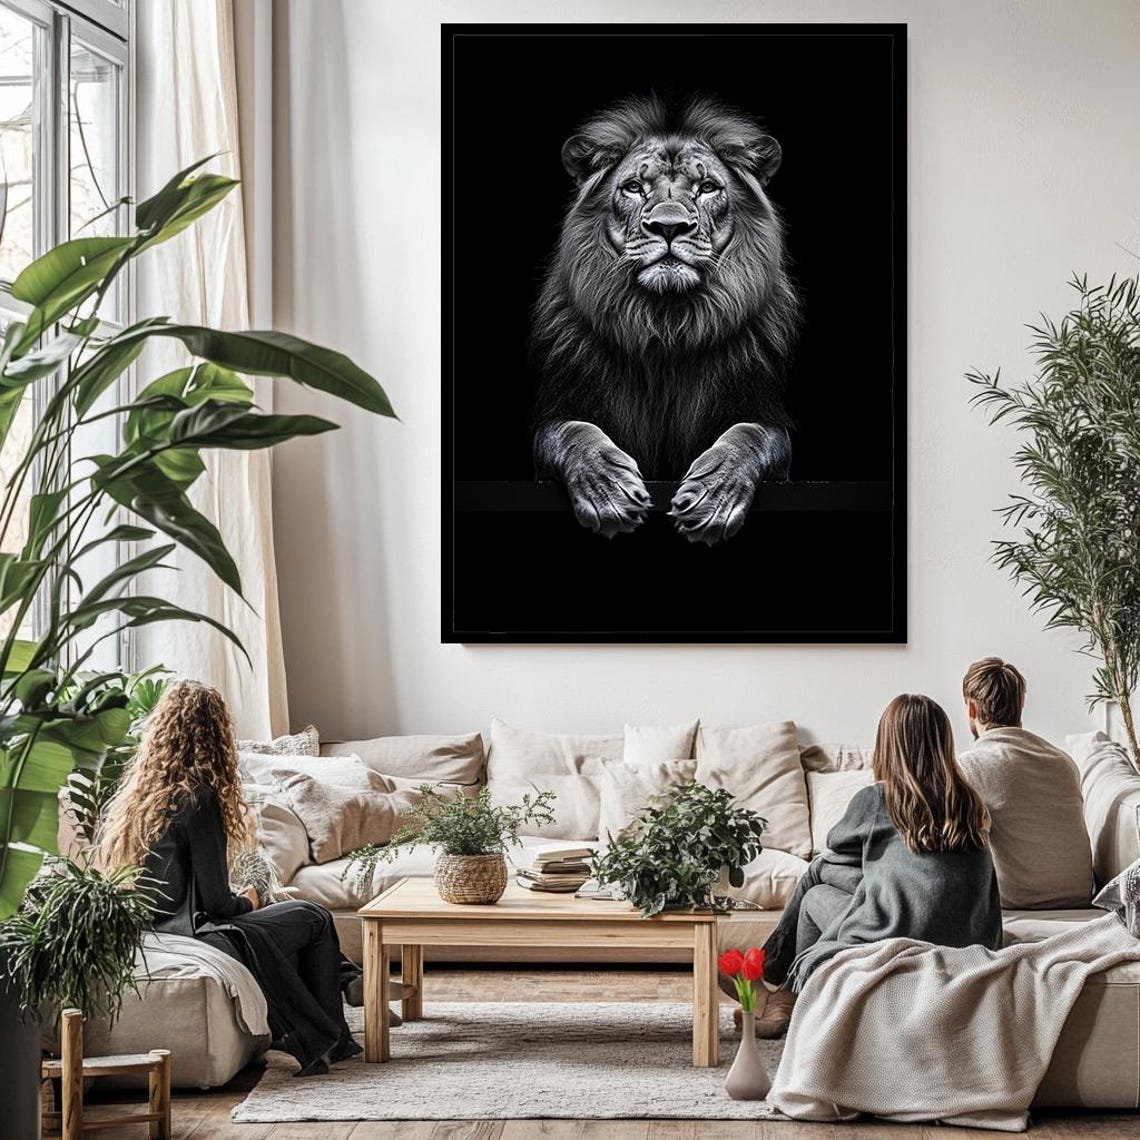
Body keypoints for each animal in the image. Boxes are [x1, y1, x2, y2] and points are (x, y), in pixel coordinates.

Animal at [531, 94, 800, 544]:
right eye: (634, 187)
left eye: (707, 188)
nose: (669, 227)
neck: (666, 323)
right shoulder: (558, 412)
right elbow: (573, 432)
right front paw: (607, 488)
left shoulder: (762, 413)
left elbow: (748, 436)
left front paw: (715, 494)